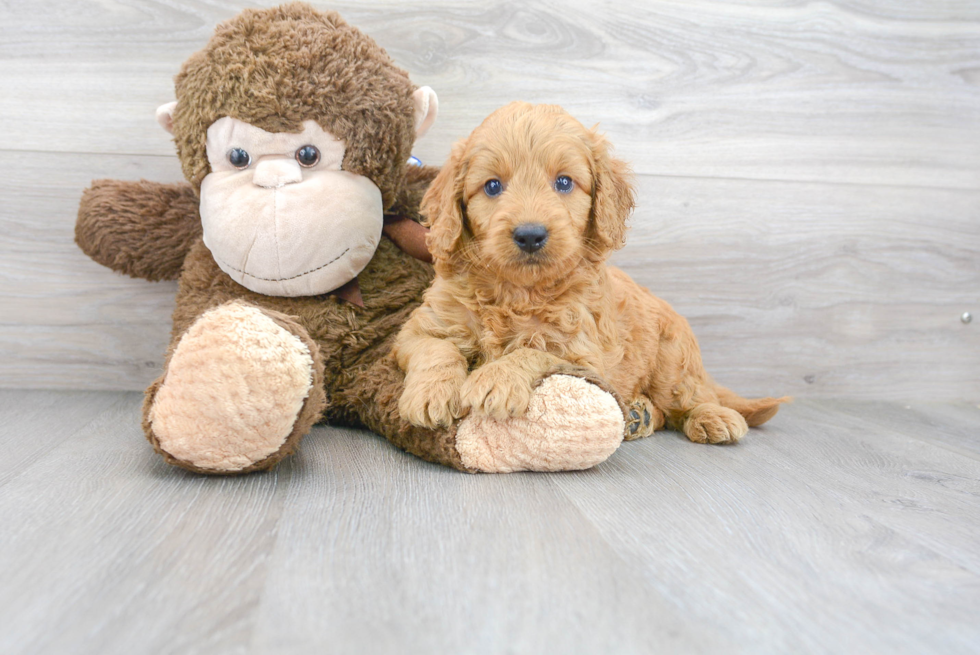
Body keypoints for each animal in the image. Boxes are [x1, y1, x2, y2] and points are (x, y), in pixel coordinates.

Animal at [394, 102, 784, 444]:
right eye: (492, 186)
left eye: (564, 183)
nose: (530, 235)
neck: (518, 291)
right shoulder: (422, 327)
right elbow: (436, 348)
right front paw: (429, 394)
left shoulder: (584, 355)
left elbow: (534, 351)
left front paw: (497, 378)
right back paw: (639, 415)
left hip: (673, 361)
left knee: (690, 397)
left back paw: (711, 416)